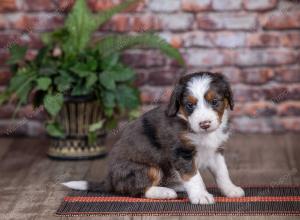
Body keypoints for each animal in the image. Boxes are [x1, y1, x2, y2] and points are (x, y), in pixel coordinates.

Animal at [63, 72, 244, 205]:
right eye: (189, 105)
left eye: (215, 101)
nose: (204, 124)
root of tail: (110, 180)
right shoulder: (181, 153)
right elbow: (193, 176)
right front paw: (201, 195)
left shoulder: (215, 151)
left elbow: (222, 172)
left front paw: (231, 189)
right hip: (147, 168)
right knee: (138, 189)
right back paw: (165, 192)